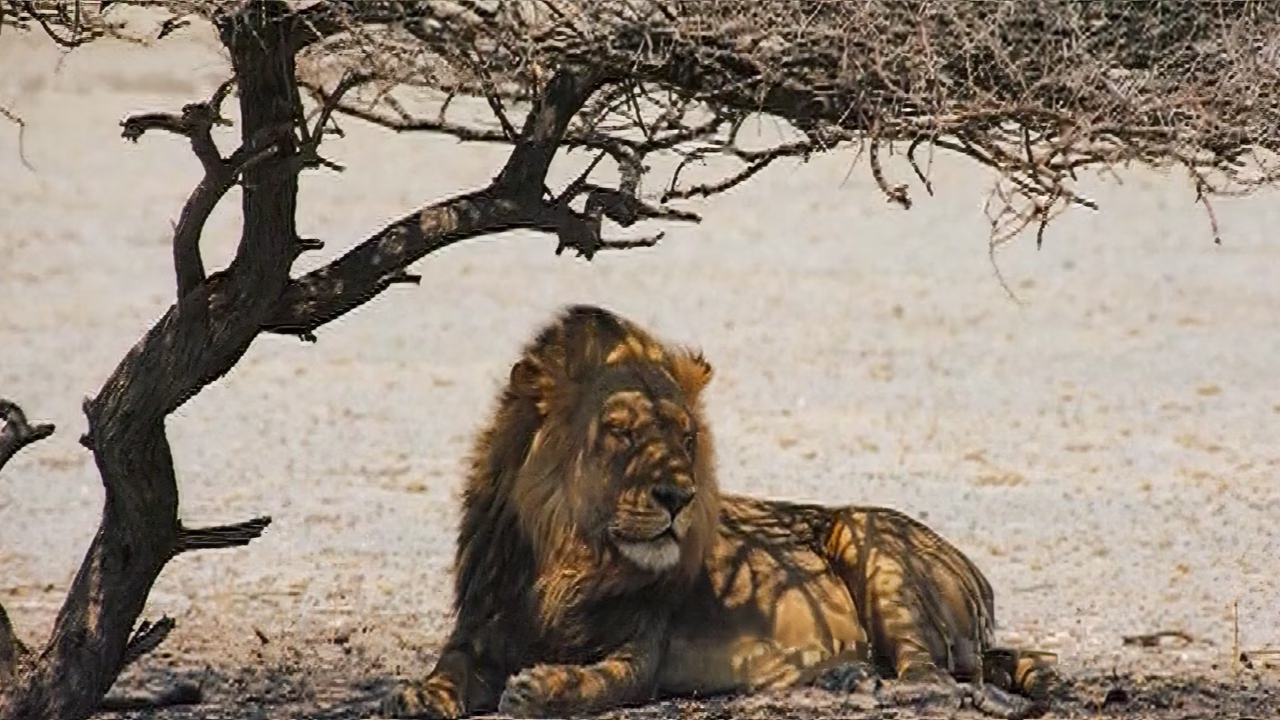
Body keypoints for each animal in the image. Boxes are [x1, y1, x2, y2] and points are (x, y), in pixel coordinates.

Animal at [381, 304, 1059, 719]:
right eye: (622, 432)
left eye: (685, 438)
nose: (678, 498)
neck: (566, 559)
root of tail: (977, 574)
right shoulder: (479, 631)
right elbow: (447, 672)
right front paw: (415, 695)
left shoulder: (641, 653)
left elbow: (593, 684)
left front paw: (540, 687)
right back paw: (846, 676)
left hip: (864, 532)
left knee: (929, 677)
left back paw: (861, 681)